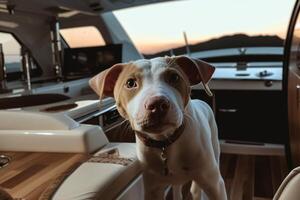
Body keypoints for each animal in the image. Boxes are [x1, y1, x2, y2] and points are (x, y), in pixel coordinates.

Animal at [89, 55, 227, 199]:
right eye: (130, 83)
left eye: (174, 77)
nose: (157, 104)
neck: (165, 143)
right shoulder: (153, 188)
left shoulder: (215, 185)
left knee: (195, 189)